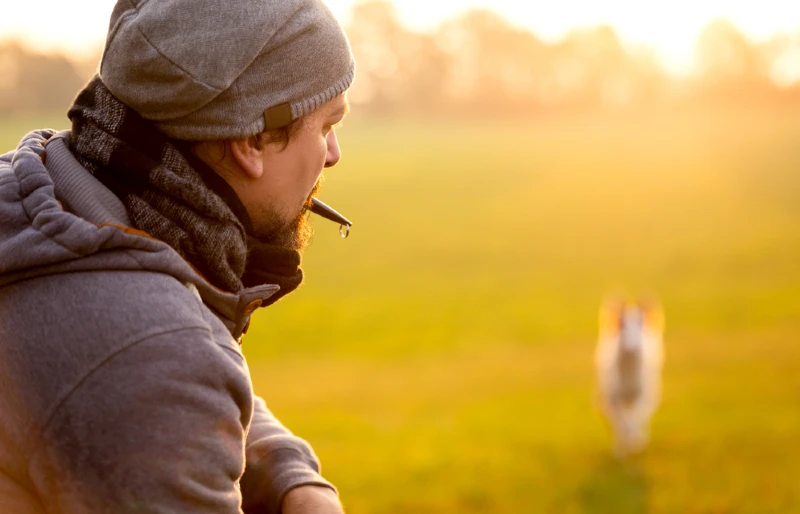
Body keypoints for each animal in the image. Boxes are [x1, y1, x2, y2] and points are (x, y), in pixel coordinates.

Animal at [592, 296, 664, 456]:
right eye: (621, 325)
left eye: (641, 324)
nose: (632, 346)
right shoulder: (612, 396)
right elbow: (621, 422)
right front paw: (620, 452)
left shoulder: (643, 394)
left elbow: (636, 419)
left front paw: (635, 443)